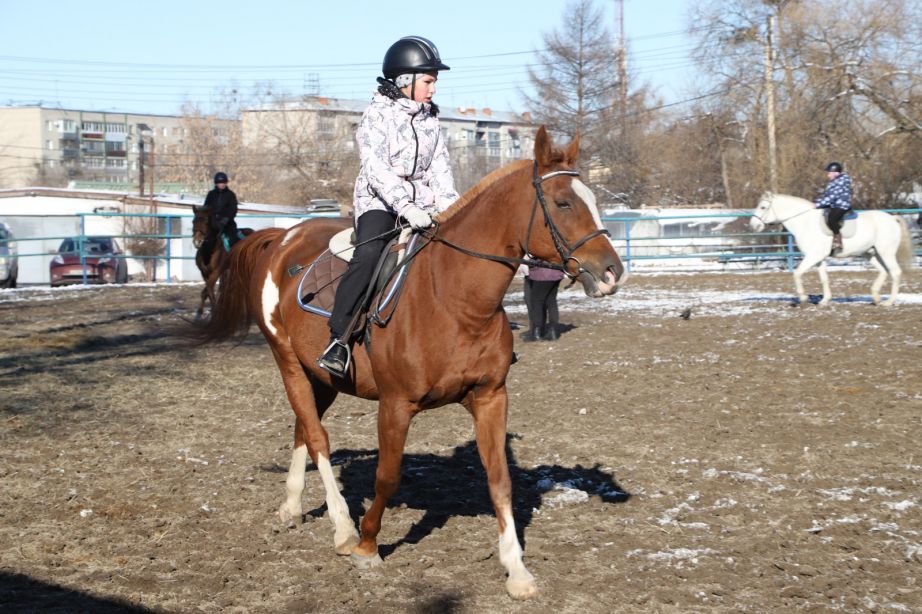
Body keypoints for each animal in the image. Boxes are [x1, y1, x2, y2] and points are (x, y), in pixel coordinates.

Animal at [194, 126, 624, 600]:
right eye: (563, 202)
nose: (611, 272)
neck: (454, 299)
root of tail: (282, 239)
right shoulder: (395, 405)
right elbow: (387, 476)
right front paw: (367, 546)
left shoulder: (491, 398)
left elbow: (500, 479)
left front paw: (517, 570)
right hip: (287, 362)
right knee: (319, 438)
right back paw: (343, 528)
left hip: (320, 377)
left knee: (303, 429)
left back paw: (291, 507)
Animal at [752, 192, 908, 308]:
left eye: (763, 207)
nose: (753, 225)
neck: (805, 222)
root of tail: (892, 218)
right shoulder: (819, 258)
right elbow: (824, 279)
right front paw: (824, 300)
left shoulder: (813, 256)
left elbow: (797, 273)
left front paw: (803, 298)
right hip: (870, 253)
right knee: (884, 271)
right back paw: (876, 298)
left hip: (886, 252)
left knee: (895, 272)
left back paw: (889, 302)